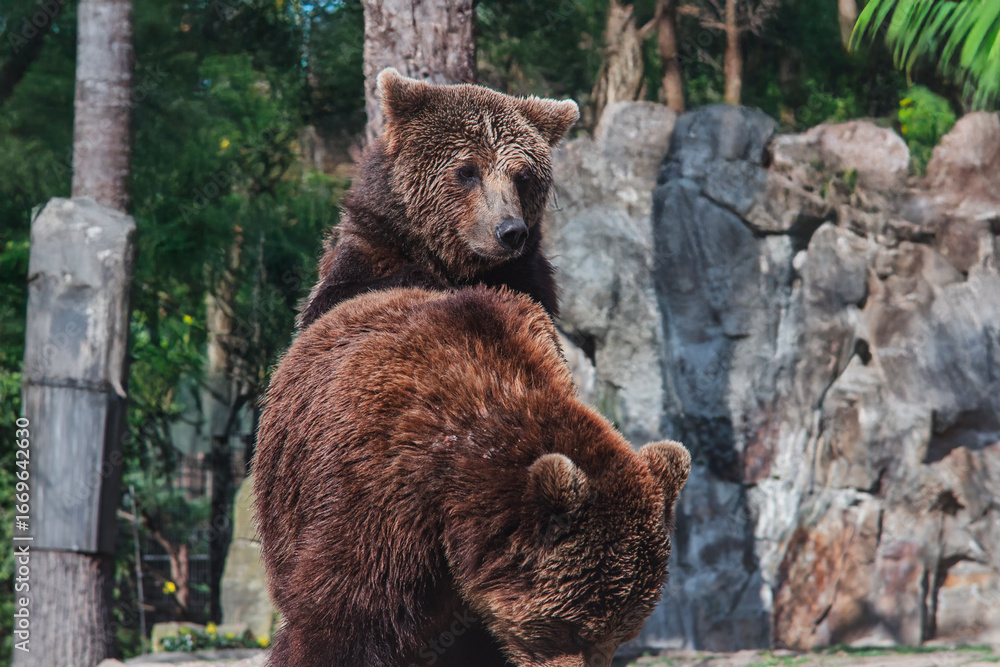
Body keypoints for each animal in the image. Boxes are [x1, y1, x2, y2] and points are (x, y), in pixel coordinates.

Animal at [296, 68, 580, 329]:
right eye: (467, 171)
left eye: (523, 176)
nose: (511, 231)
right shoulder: (368, 243)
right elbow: (336, 296)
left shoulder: (528, 274)